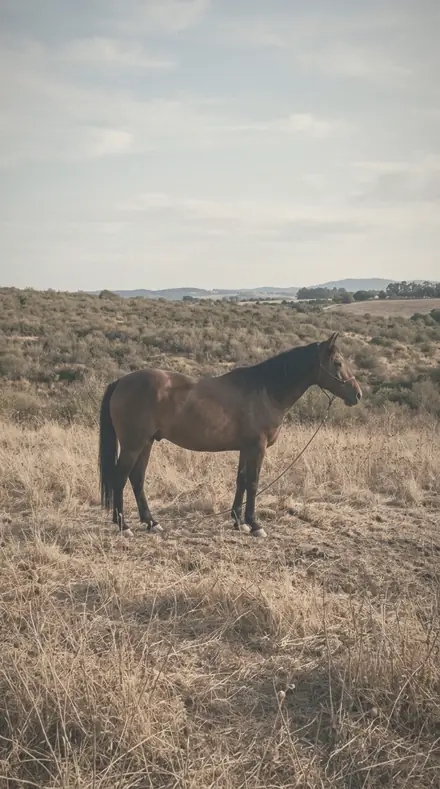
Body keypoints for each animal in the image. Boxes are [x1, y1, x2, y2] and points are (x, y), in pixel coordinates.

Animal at [98, 332, 362, 538]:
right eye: (338, 362)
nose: (357, 394)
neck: (266, 391)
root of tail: (121, 381)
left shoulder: (246, 448)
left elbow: (241, 480)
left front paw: (238, 521)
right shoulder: (257, 447)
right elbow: (253, 483)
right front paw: (255, 525)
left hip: (147, 443)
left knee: (137, 478)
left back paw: (151, 522)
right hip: (133, 444)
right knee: (120, 478)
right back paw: (124, 525)